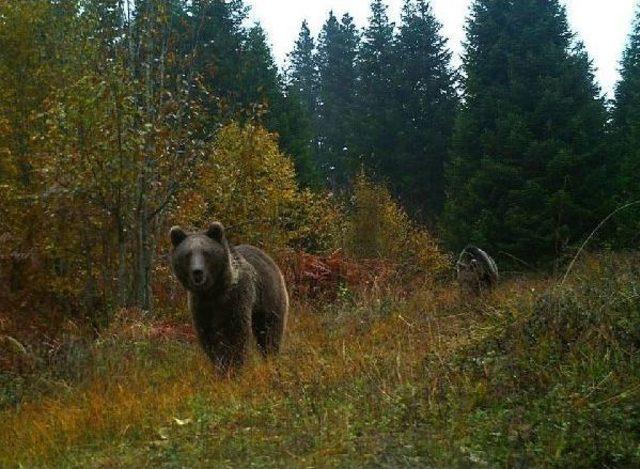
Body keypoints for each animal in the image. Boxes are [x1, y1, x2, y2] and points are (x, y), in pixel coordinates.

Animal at [170, 222, 290, 372]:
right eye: (187, 254)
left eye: (205, 252)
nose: (197, 272)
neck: (212, 291)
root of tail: (267, 257)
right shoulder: (200, 306)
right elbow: (208, 336)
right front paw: (219, 364)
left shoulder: (234, 299)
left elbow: (234, 334)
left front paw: (232, 365)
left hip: (268, 296)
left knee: (269, 331)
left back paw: (271, 357)